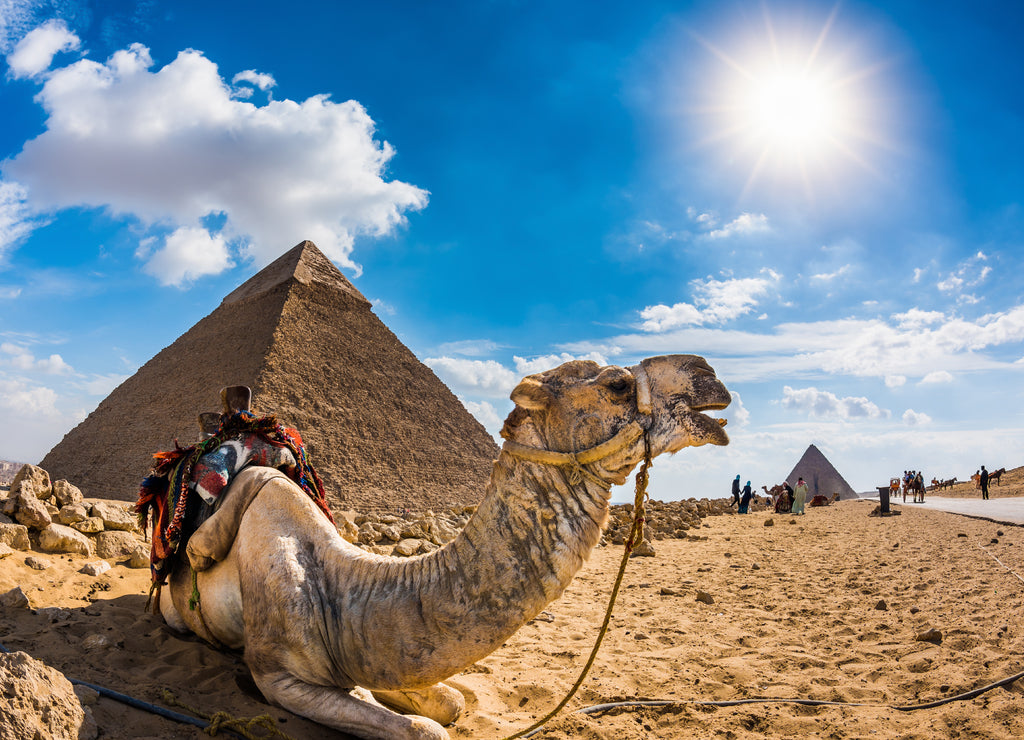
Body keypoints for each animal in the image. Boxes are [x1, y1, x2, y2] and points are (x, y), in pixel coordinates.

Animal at [153, 356, 729, 736]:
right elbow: (423, 728)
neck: (346, 586)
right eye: (617, 384)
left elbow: (448, 704)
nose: (709, 376)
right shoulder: (280, 674)